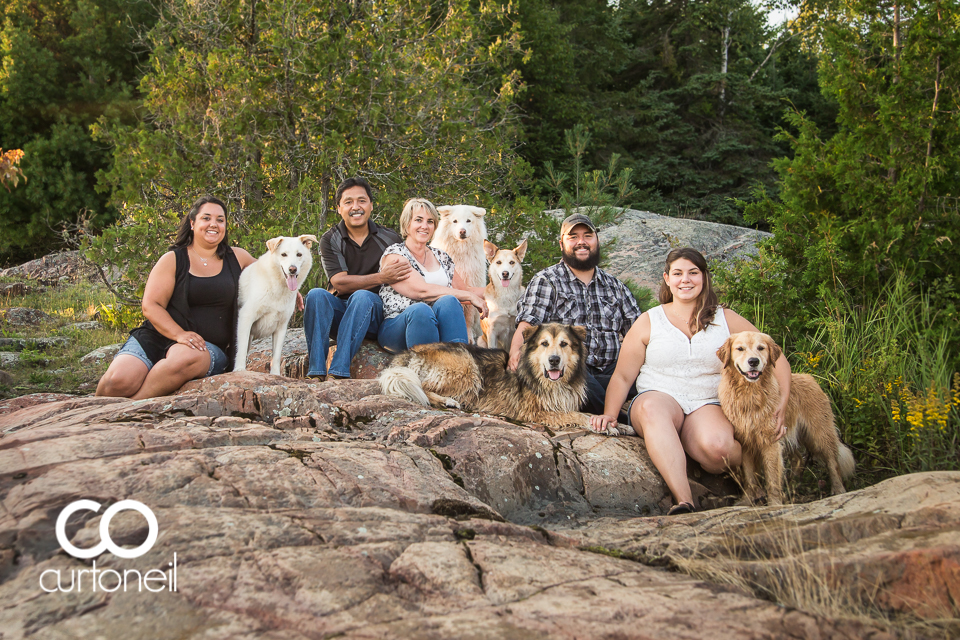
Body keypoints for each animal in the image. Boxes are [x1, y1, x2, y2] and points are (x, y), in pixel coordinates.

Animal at [234, 235, 316, 376]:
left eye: (299, 254)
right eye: (283, 254)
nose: (292, 269)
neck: (277, 286)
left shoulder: (281, 326)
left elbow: (276, 355)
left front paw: (276, 374)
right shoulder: (246, 317)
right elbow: (242, 348)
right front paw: (239, 369)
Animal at [432, 206, 488, 344]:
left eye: (468, 220)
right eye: (455, 221)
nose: (462, 231)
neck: (461, 249)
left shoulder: (471, 285)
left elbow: (467, 318)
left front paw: (469, 337)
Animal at [720, 330, 856, 504]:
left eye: (761, 348)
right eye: (740, 349)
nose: (753, 361)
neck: (750, 394)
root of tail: (810, 377)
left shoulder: (770, 441)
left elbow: (772, 475)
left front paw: (774, 503)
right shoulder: (745, 442)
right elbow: (749, 476)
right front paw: (747, 500)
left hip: (819, 433)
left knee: (833, 461)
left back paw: (838, 489)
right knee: (798, 459)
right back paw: (793, 485)